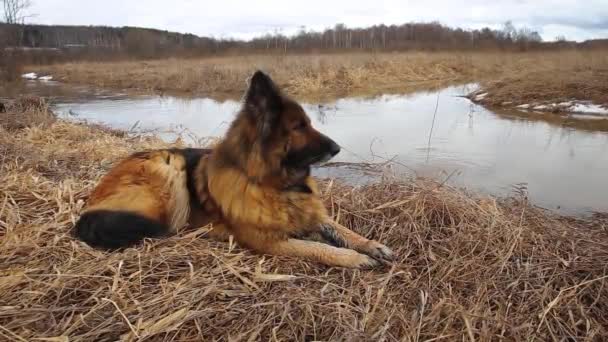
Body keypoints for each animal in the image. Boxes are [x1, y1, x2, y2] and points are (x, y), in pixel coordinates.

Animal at [75, 70, 394, 268]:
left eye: (308, 123)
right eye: (299, 127)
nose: (338, 148)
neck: (273, 184)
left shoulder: (312, 213)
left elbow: (342, 229)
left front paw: (371, 245)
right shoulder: (269, 242)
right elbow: (320, 248)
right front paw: (352, 258)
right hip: (168, 165)